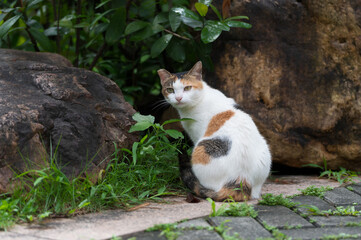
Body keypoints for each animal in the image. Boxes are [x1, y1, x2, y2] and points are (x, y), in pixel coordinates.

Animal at [158, 61, 270, 201]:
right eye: (170, 90)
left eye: (187, 88)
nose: (178, 98)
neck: (201, 97)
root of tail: (241, 180)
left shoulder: (196, 134)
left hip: (199, 150)